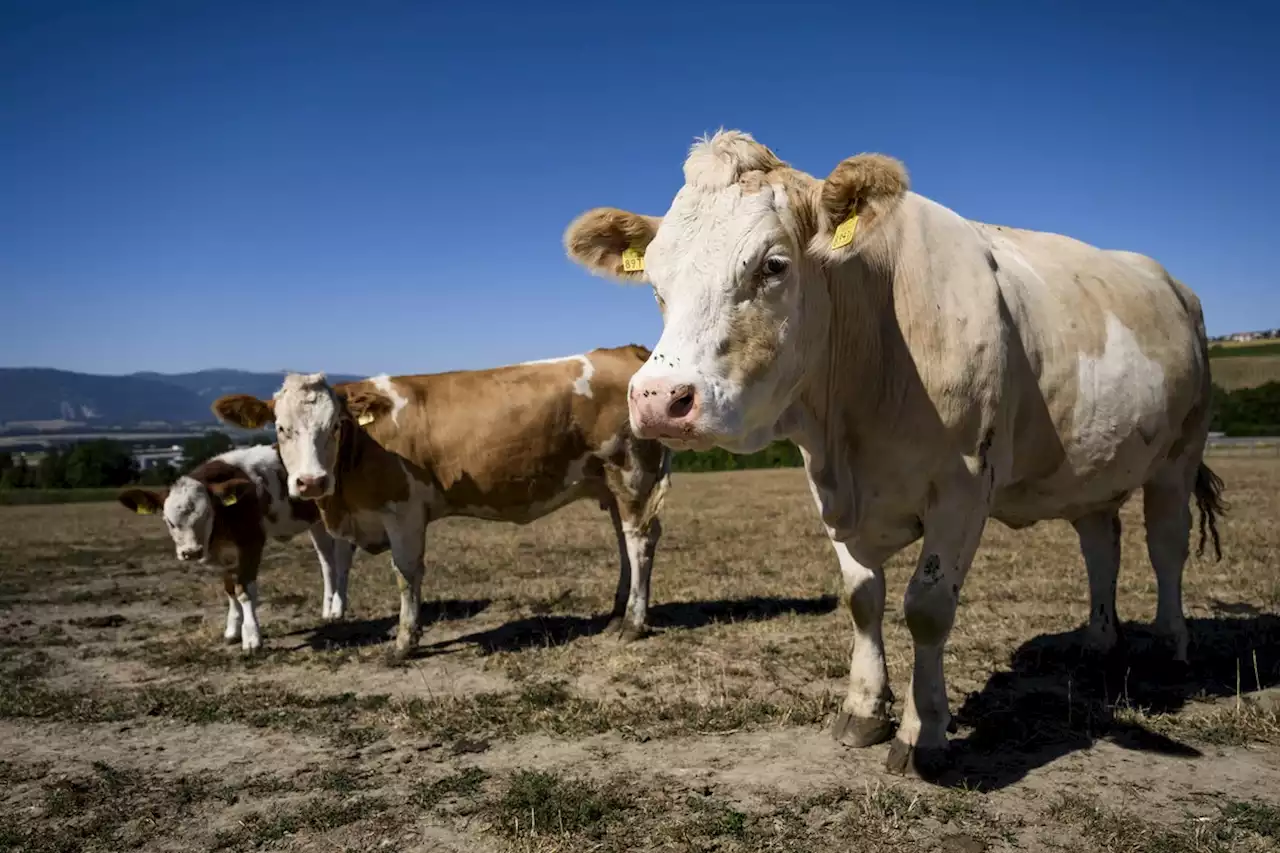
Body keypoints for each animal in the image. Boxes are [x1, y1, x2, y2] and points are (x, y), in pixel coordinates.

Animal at [118, 440, 355, 648]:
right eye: (169, 521)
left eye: (206, 515)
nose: (191, 552)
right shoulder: (225, 553)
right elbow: (230, 589)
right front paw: (232, 629)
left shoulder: (251, 543)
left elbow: (244, 590)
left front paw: (251, 637)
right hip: (317, 522)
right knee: (327, 561)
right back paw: (328, 607)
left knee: (343, 558)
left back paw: (338, 607)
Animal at [209, 343, 670, 655]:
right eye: (281, 428)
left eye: (335, 426)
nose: (310, 482)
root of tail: (624, 351)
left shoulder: (403, 511)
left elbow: (406, 573)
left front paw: (405, 640)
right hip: (610, 483)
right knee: (625, 542)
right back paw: (616, 613)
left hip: (631, 472)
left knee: (640, 542)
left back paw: (634, 622)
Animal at [565, 129, 1223, 773]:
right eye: (656, 284)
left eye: (773, 265)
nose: (657, 398)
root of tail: (1173, 283)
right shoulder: (829, 489)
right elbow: (863, 599)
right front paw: (863, 710)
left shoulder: (964, 489)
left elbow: (926, 607)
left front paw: (921, 731)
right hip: (1094, 466)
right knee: (1100, 544)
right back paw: (1099, 641)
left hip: (1180, 453)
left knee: (1166, 546)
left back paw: (1170, 647)